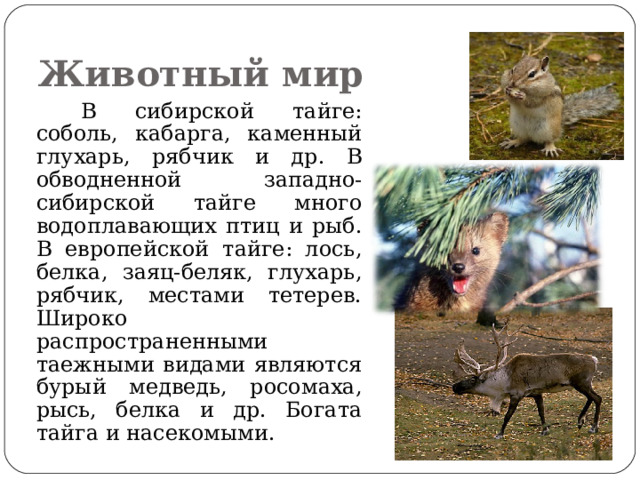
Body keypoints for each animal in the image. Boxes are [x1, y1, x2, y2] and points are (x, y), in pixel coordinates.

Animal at [452, 322, 601, 439]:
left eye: (473, 379)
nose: (454, 387)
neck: (504, 381)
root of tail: (594, 359)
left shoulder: (516, 394)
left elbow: (507, 415)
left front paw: (499, 434)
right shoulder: (536, 393)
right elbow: (541, 411)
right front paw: (545, 430)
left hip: (581, 383)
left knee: (597, 398)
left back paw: (593, 427)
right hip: (583, 384)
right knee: (591, 398)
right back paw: (580, 421)